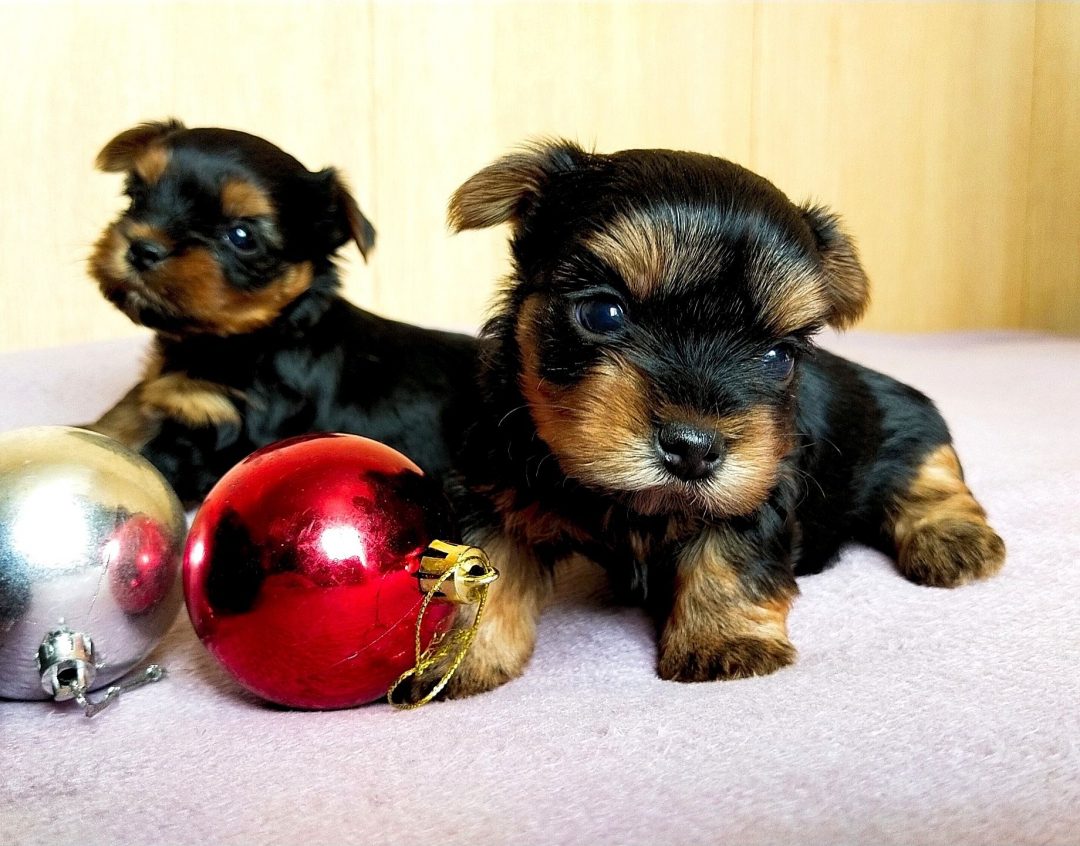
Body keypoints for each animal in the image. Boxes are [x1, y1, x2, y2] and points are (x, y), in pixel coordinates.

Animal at [90, 118, 479, 503]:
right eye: (136, 196)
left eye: (242, 236)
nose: (143, 249)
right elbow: (121, 418)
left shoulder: (227, 432)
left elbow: (151, 460)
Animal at [436, 140, 1002, 695]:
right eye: (602, 313)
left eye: (779, 356)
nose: (694, 448)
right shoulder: (496, 478)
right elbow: (487, 568)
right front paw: (460, 661)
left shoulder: (761, 481)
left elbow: (730, 552)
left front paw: (725, 642)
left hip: (906, 422)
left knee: (933, 476)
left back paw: (955, 542)